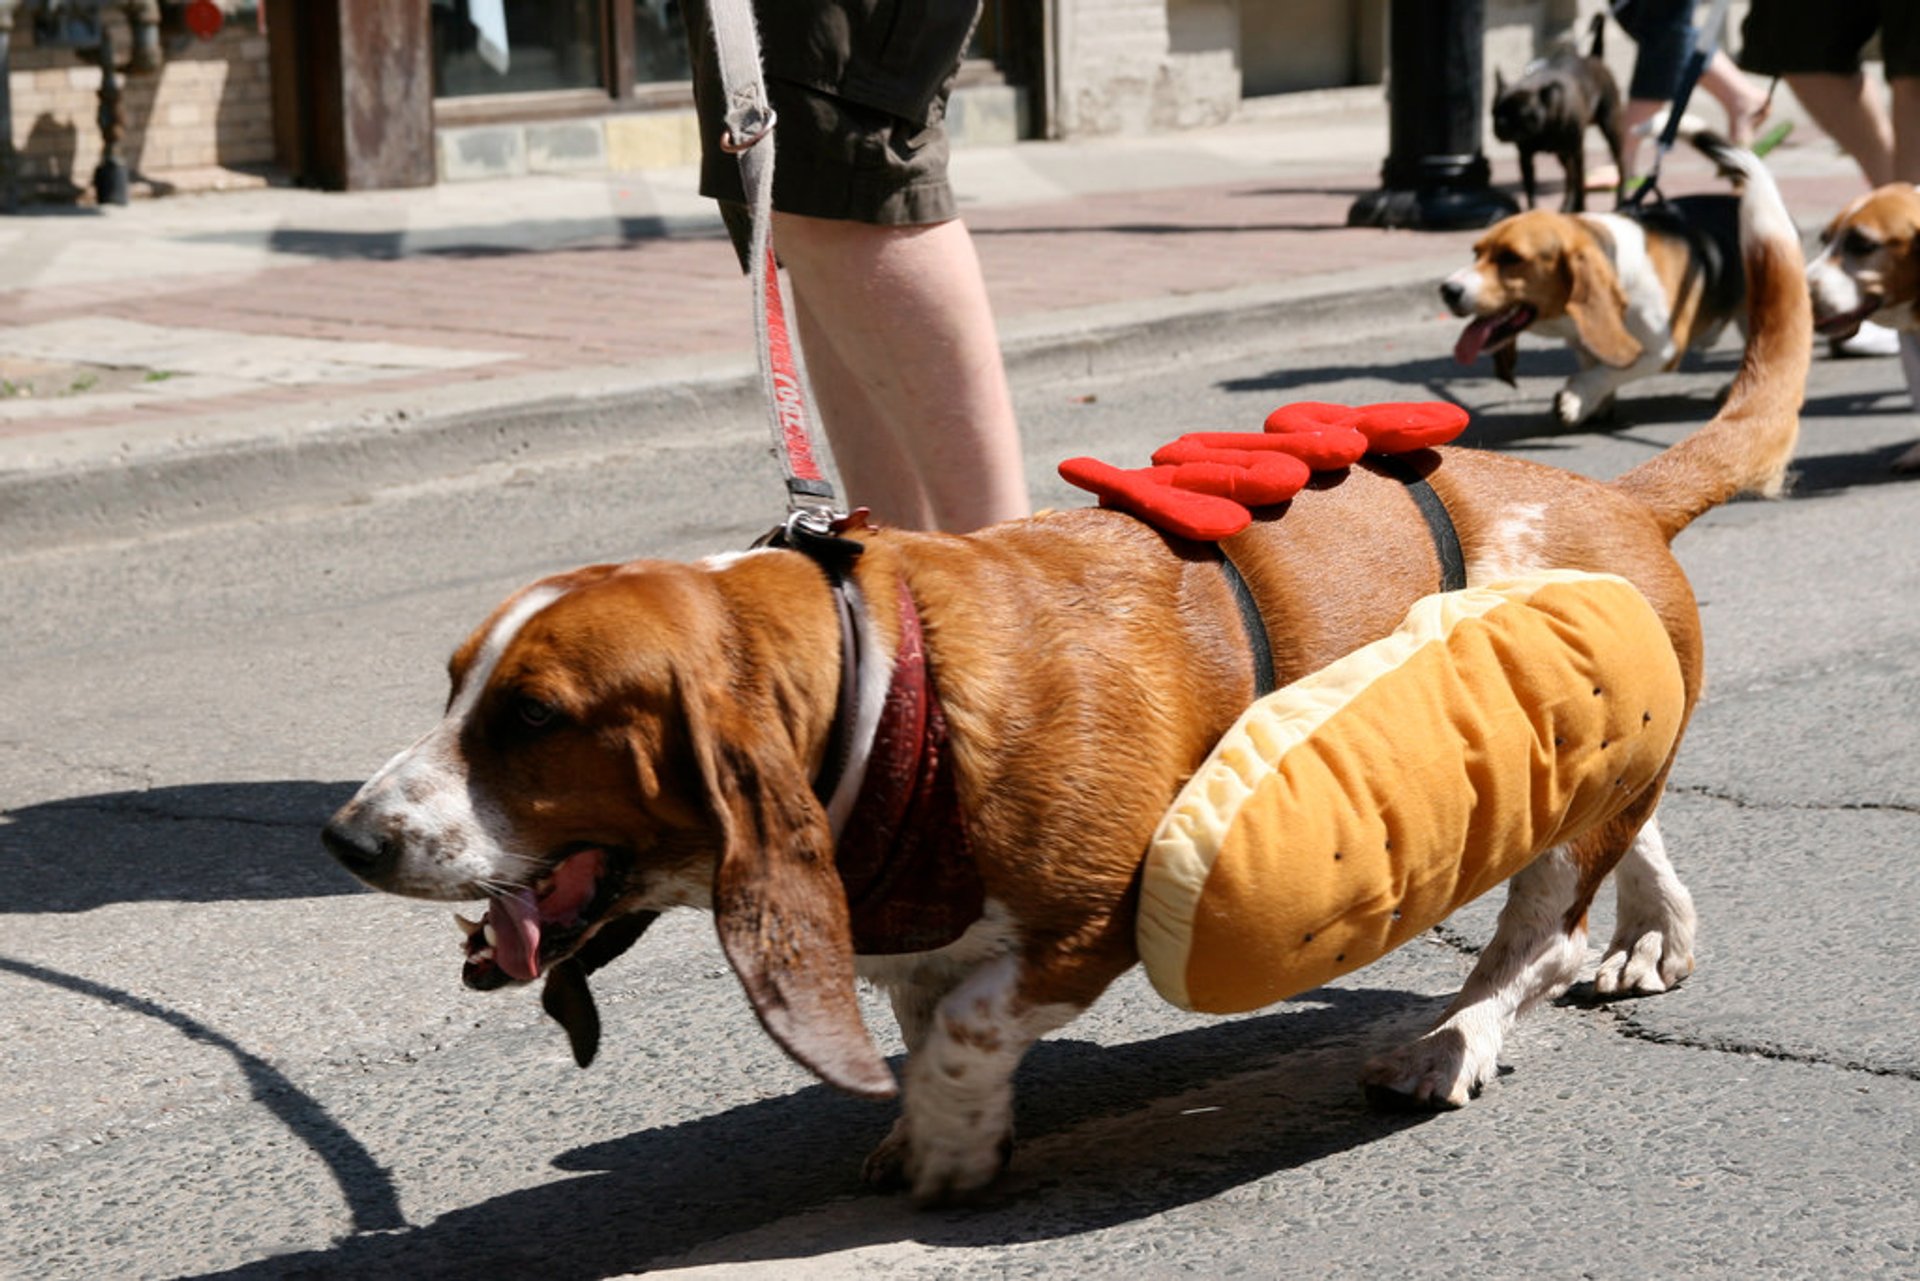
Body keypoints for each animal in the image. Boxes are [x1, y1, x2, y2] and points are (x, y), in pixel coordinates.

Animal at [322, 145, 1804, 1206]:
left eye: (534, 717)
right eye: (454, 684)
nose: (346, 838)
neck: (882, 683)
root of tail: (1609, 496)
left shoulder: (1086, 922)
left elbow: (969, 1025)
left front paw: (943, 1151)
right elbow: (926, 1011)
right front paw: (936, 1131)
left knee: (1536, 936)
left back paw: (1455, 1037)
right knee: (1627, 837)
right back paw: (1653, 939)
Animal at [1489, 15, 1628, 213]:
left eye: (1521, 114)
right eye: (1493, 112)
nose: (1501, 123)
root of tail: (1593, 58)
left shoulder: (1577, 151)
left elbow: (1581, 181)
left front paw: (1582, 208)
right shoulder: (1525, 159)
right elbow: (1530, 190)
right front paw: (1533, 211)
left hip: (1610, 127)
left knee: (1618, 165)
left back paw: (1618, 200)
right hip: (1562, 154)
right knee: (1569, 177)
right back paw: (1566, 205)